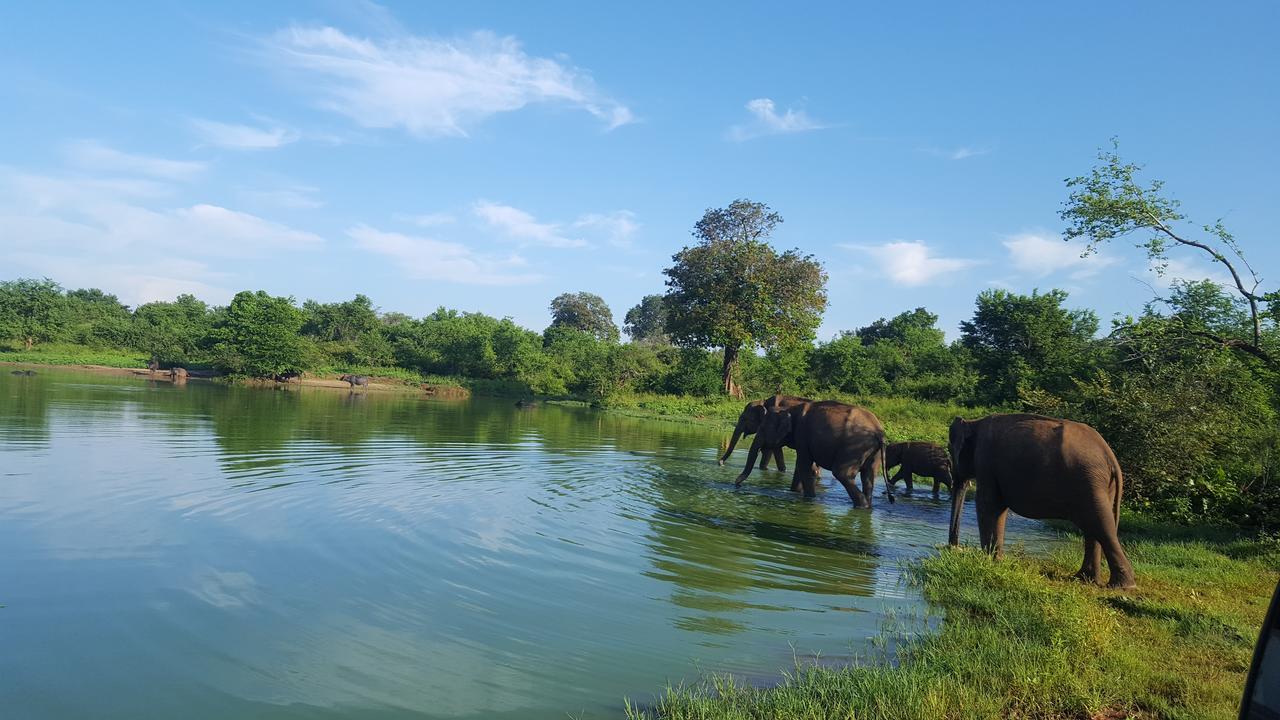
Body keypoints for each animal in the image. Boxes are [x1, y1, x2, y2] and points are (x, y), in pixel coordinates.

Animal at [747, 397, 890, 509]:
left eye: (762, 428)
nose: (740, 484)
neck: (789, 409)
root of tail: (879, 432)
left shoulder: (802, 434)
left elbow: (803, 466)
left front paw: (809, 499)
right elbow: (802, 466)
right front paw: (795, 493)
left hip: (854, 448)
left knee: (842, 473)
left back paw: (862, 506)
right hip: (873, 452)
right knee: (868, 476)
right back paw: (867, 506)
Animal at [947, 409, 1136, 589]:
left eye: (950, 450)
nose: (954, 547)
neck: (974, 422)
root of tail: (1111, 457)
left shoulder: (985, 460)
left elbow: (988, 504)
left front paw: (988, 560)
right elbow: (998, 508)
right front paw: (996, 560)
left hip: (1089, 482)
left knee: (1100, 524)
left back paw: (1121, 586)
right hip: (1099, 485)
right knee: (1093, 527)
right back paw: (1085, 578)